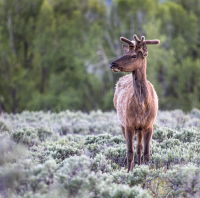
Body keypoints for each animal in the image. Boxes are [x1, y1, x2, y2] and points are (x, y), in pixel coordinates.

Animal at [110, 34, 160, 172]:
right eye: (125, 53)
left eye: (133, 55)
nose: (112, 64)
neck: (142, 106)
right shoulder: (128, 124)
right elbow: (129, 152)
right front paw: (129, 172)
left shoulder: (149, 125)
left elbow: (146, 153)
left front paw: (145, 171)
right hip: (122, 123)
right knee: (134, 148)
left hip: (140, 129)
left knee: (139, 148)